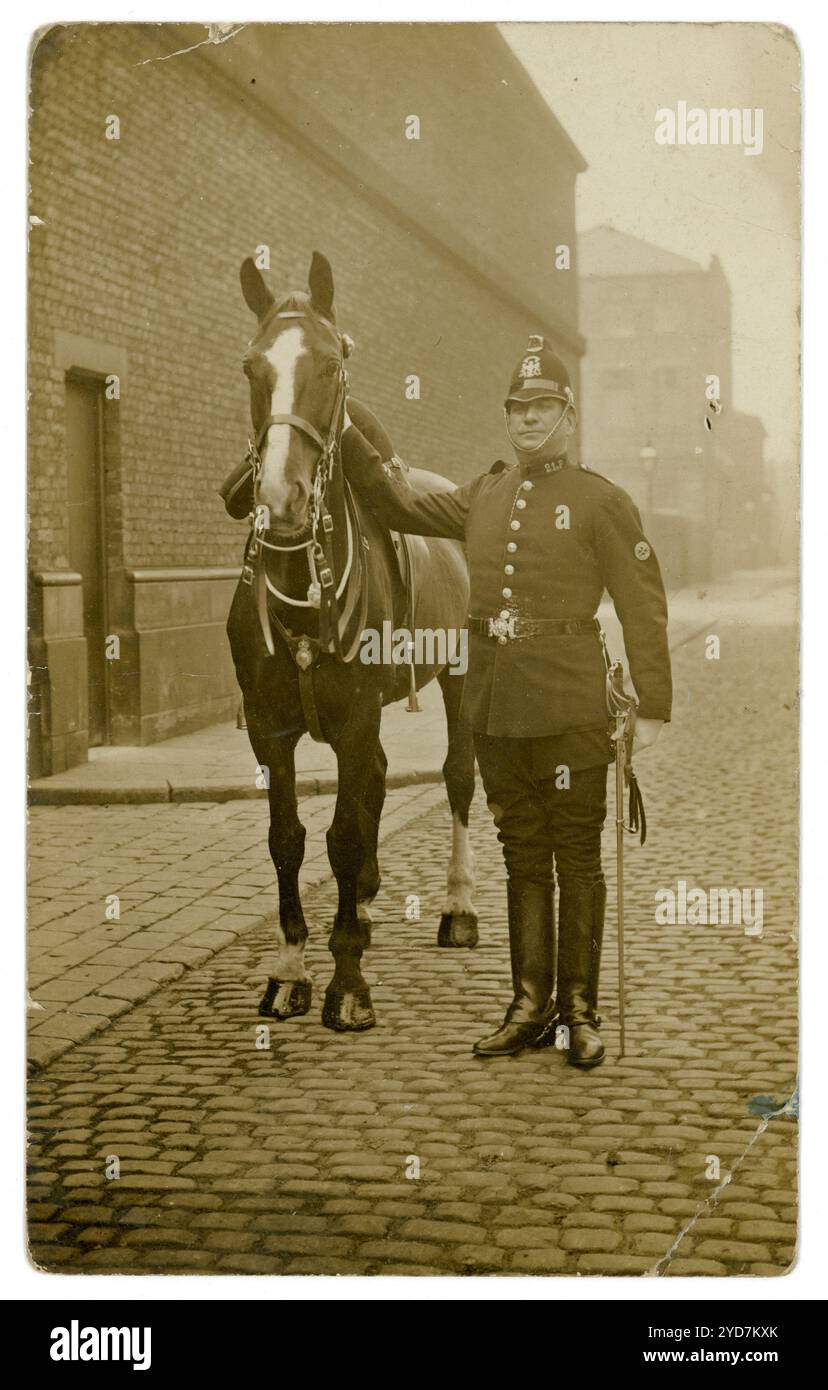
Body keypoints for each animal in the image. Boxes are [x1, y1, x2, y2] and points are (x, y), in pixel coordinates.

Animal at [226, 250, 477, 1034]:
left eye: (332, 364)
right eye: (251, 366)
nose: (279, 501)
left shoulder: (356, 715)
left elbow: (338, 832)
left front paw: (346, 983)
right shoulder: (271, 729)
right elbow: (289, 840)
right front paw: (290, 970)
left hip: (462, 676)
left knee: (458, 777)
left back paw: (458, 906)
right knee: (376, 780)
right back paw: (363, 902)